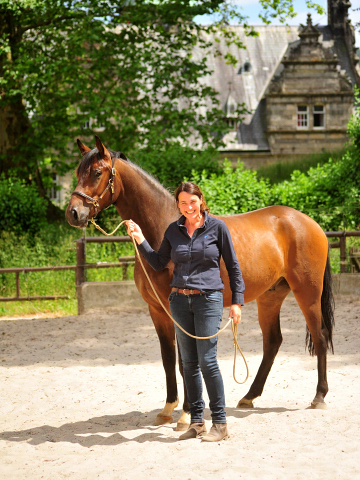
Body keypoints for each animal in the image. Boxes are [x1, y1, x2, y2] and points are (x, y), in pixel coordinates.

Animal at [65, 136, 334, 432]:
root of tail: (310, 224)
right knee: (273, 341)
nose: (73, 213)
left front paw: (185, 415)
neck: (163, 231)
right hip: (270, 296)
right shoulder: (157, 311)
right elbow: (168, 359)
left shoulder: (177, 310)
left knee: (320, 335)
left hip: (307, 292)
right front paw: (167, 409)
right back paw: (249, 396)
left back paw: (319, 396)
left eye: (97, 172)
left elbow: (185, 361)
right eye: (78, 172)